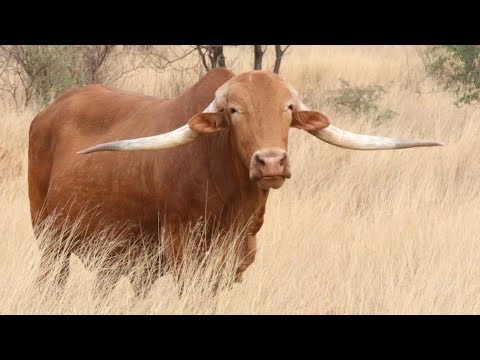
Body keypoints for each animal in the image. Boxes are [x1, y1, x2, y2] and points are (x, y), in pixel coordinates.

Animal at [29, 68, 442, 298]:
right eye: (234, 110)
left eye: (288, 109)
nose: (271, 161)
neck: (232, 204)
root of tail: (51, 109)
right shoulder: (185, 254)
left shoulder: (235, 259)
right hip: (50, 241)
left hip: (115, 256)